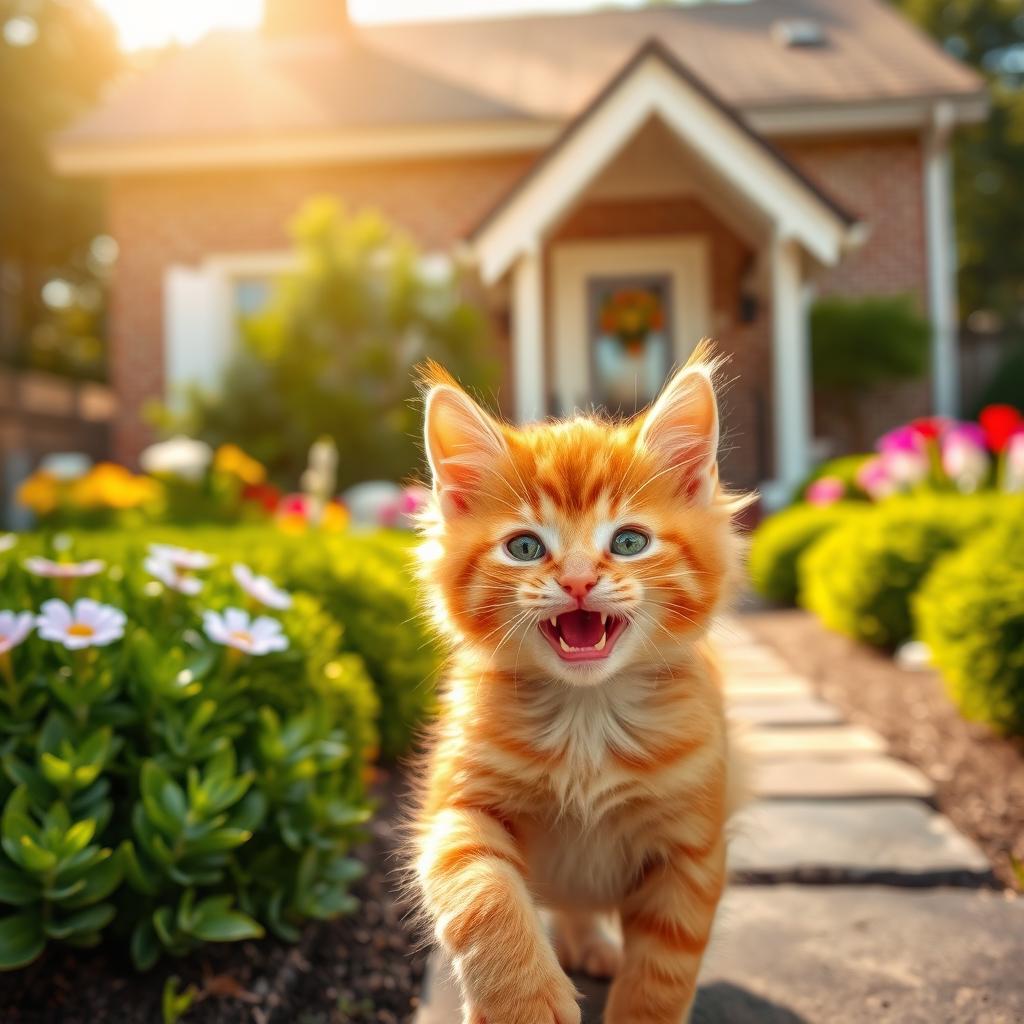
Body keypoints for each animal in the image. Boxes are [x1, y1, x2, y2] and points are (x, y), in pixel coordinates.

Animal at [411, 346, 749, 1024]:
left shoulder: (692, 849)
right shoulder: (455, 810)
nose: (576, 581)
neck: (587, 715)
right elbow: (483, 895)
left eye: (628, 541)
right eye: (524, 547)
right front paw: (524, 1003)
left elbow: (661, 978)